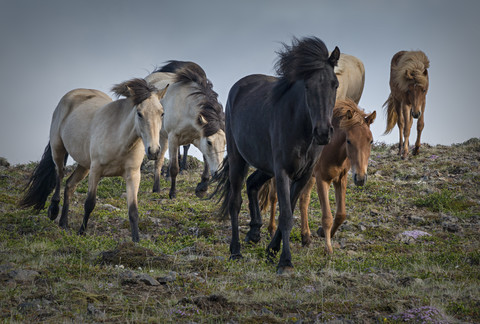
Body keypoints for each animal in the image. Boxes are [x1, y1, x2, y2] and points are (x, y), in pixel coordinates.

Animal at [18, 78, 169, 240]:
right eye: (139, 113)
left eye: (162, 113)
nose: (154, 151)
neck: (120, 141)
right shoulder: (96, 171)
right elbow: (89, 203)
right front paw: (81, 232)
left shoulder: (133, 174)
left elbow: (133, 210)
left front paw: (136, 241)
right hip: (58, 149)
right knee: (59, 174)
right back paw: (53, 211)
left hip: (84, 165)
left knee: (70, 185)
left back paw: (63, 223)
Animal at [145, 60, 226, 197]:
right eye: (210, 142)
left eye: (225, 143)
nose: (218, 174)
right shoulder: (174, 138)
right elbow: (174, 168)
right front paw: (173, 192)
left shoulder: (198, 136)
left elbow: (206, 159)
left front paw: (203, 186)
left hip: (162, 136)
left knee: (159, 160)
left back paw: (156, 188)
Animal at [212, 36, 340, 274]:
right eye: (307, 86)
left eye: (334, 84)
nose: (323, 133)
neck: (301, 128)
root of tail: (239, 86)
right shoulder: (282, 172)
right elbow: (286, 216)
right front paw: (285, 262)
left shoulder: (303, 175)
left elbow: (288, 211)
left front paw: (271, 251)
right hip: (238, 159)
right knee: (235, 201)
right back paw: (235, 251)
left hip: (264, 166)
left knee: (252, 184)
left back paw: (254, 233)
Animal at [258, 98, 376, 253]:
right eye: (349, 140)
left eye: (371, 141)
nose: (361, 178)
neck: (331, 149)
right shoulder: (322, 179)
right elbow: (327, 217)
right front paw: (328, 249)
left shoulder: (340, 179)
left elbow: (340, 214)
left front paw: (322, 233)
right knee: (274, 197)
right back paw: (272, 230)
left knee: (303, 200)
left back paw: (305, 237)